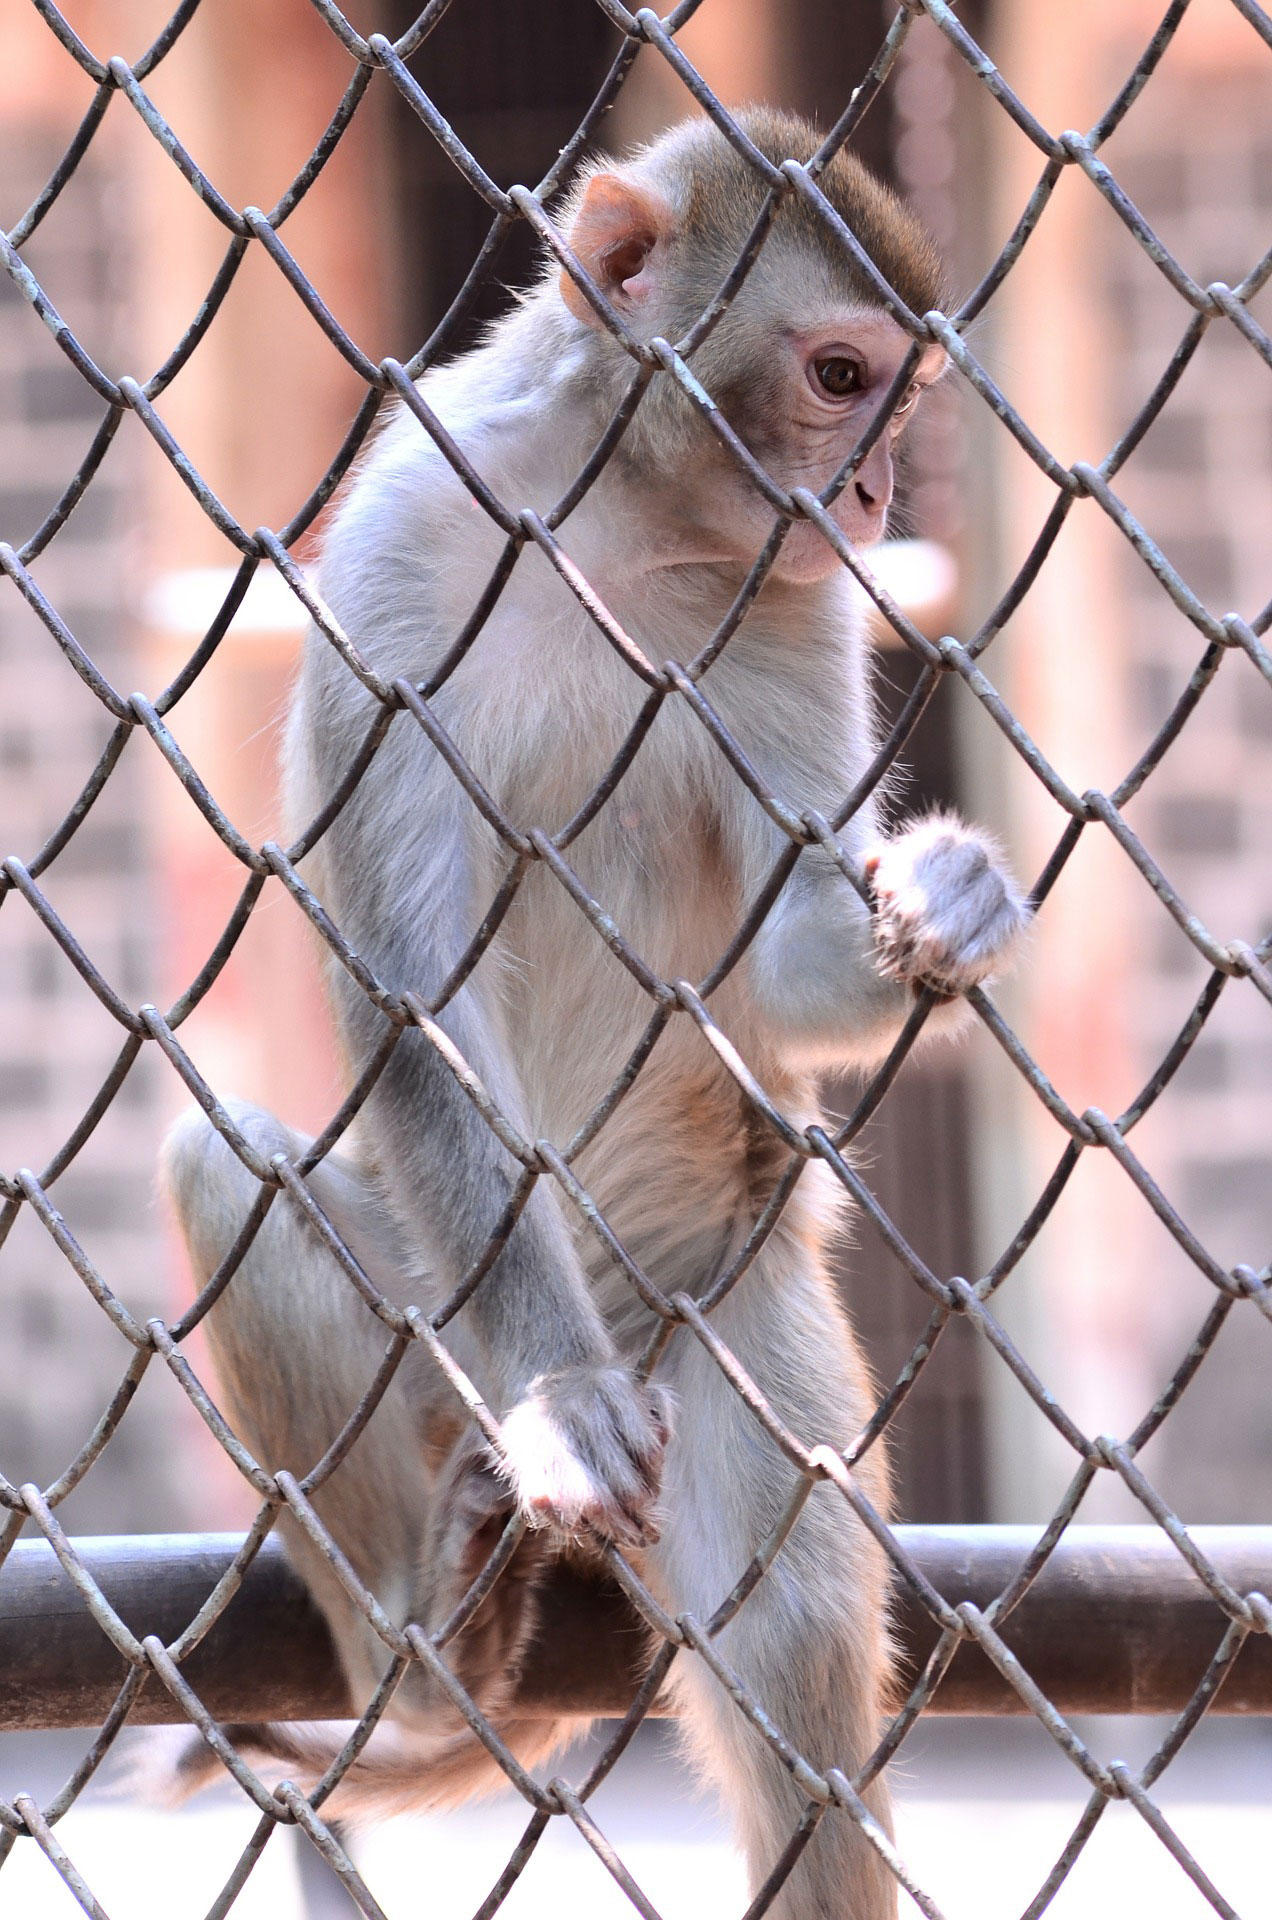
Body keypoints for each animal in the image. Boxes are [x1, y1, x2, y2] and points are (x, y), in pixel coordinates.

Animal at [164, 108, 1028, 1919]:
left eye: (899, 397)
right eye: (840, 377)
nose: (871, 490)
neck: (608, 514)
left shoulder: (795, 599)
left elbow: (787, 960)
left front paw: (949, 904)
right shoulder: (405, 545)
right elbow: (411, 998)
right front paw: (560, 1403)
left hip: (722, 1314)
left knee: (792, 1641)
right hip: (443, 1351)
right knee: (236, 1169)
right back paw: (433, 1664)